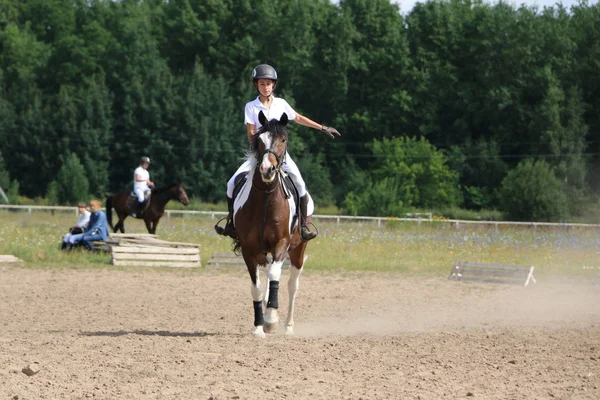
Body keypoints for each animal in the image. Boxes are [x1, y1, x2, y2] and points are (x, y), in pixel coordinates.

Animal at [232, 110, 310, 338]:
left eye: (283, 140)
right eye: (259, 140)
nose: (267, 169)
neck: (266, 197)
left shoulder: (281, 243)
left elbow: (276, 276)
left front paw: (271, 320)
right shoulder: (249, 250)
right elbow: (256, 287)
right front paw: (259, 326)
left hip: (298, 250)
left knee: (292, 285)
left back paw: (288, 326)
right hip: (263, 253)